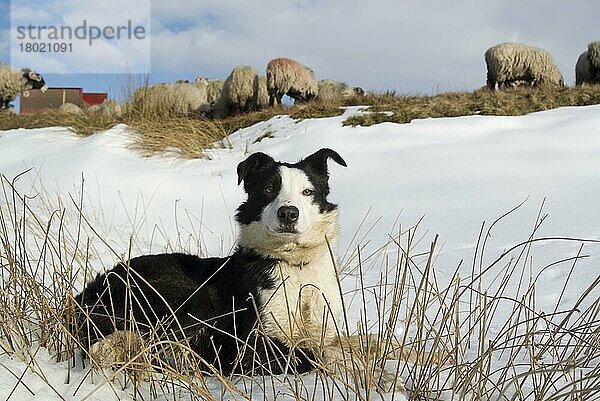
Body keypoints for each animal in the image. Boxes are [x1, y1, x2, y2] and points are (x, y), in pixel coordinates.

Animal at [75, 148, 346, 376]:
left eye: (307, 192)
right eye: (269, 189)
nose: (288, 213)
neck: (294, 264)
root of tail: (88, 293)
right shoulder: (254, 345)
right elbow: (317, 355)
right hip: (192, 296)